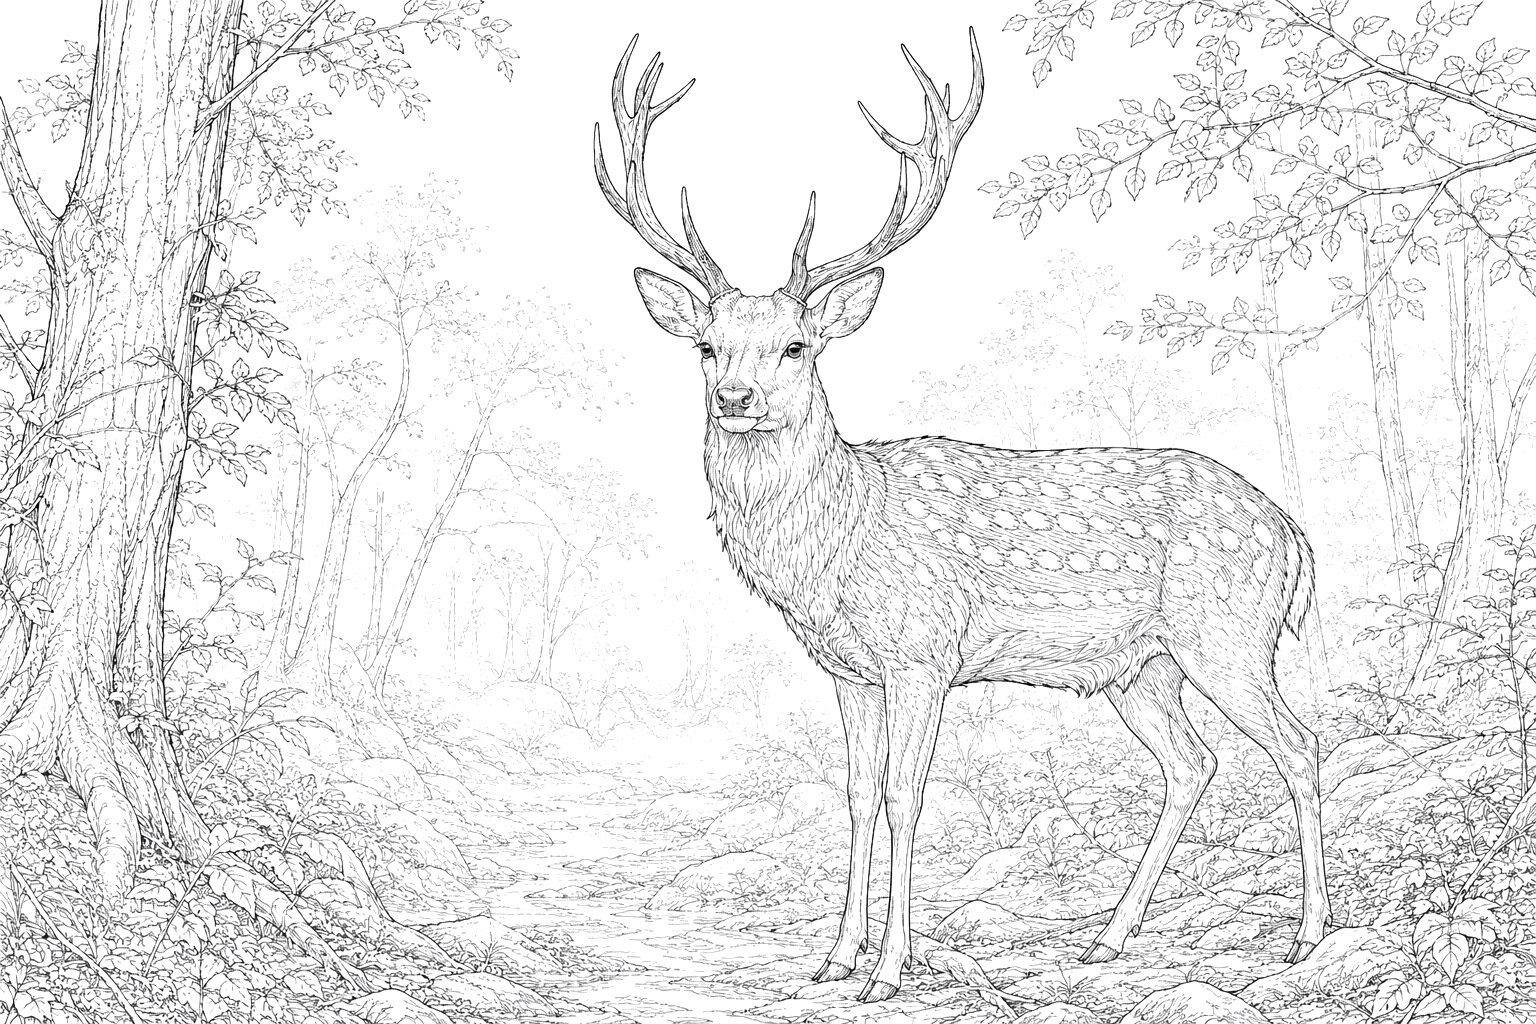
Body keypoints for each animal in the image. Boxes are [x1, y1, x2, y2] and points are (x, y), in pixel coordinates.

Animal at [594, 28, 1331, 1003]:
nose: (736, 398)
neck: (837, 545)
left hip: (1229, 633)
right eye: (708, 346)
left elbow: (906, 797)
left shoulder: (923, 652)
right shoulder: (850, 671)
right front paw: (834, 957)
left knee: (1300, 745)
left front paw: (888, 970)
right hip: (1141, 667)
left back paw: (1308, 935)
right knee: (1193, 762)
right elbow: (858, 796)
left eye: (796, 345)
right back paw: (1108, 938)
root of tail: (1294, 538)